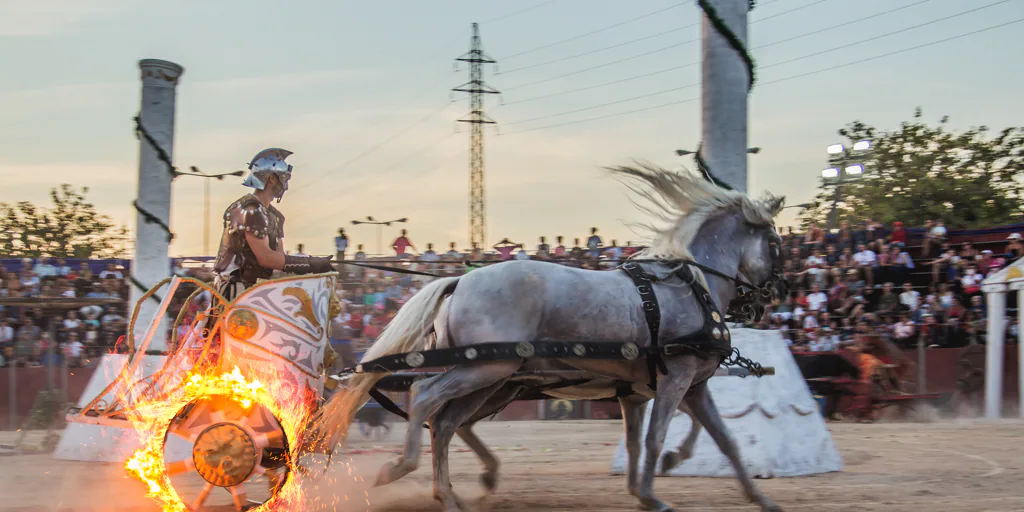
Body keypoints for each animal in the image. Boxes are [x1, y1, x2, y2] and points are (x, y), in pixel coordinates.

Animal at [307, 164, 786, 512]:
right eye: (776, 243)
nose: (773, 296)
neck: (691, 284)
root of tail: (459, 281)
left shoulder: (677, 387)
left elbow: (721, 440)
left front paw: (759, 498)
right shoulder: (676, 378)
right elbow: (656, 437)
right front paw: (654, 493)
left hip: (489, 376)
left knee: (444, 422)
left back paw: (451, 494)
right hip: (490, 368)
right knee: (425, 399)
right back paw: (401, 468)